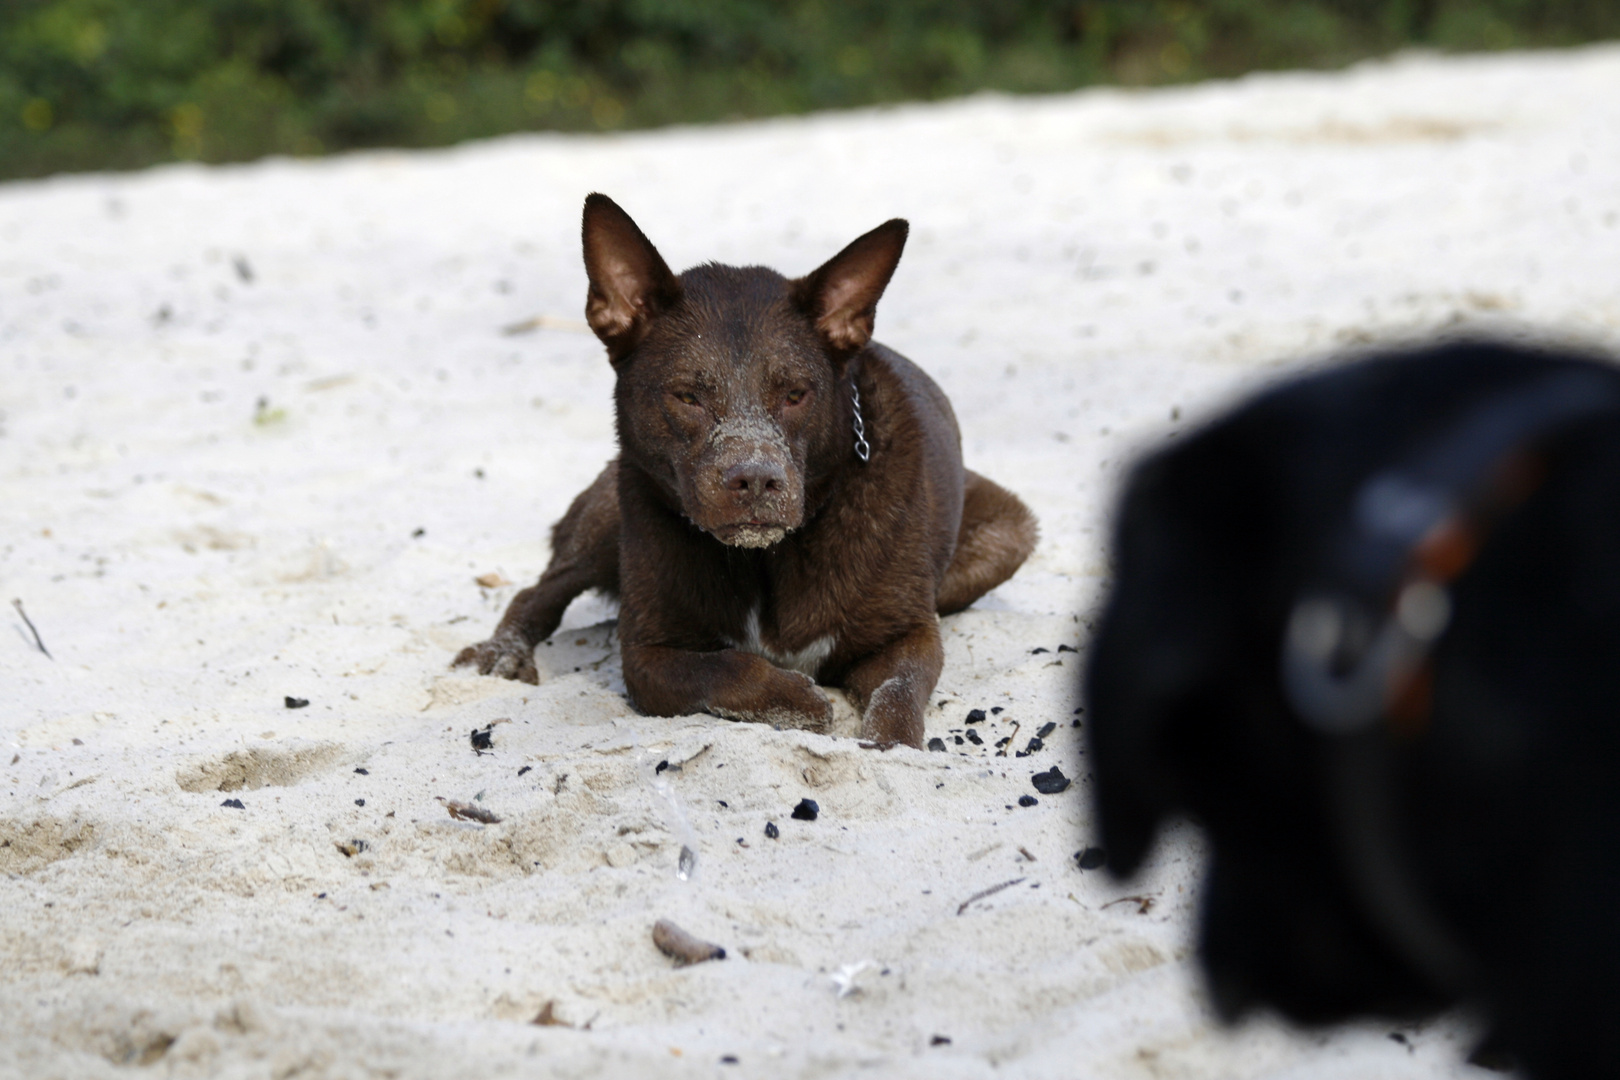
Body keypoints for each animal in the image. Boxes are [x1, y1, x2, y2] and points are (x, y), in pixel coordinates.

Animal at [456, 194, 1036, 748]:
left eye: (796, 393)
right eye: (687, 396)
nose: (756, 479)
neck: (767, 559)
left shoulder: (910, 634)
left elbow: (898, 692)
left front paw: (889, 746)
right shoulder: (646, 653)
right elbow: (723, 668)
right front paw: (798, 699)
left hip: (1010, 534)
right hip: (610, 513)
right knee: (543, 588)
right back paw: (502, 652)